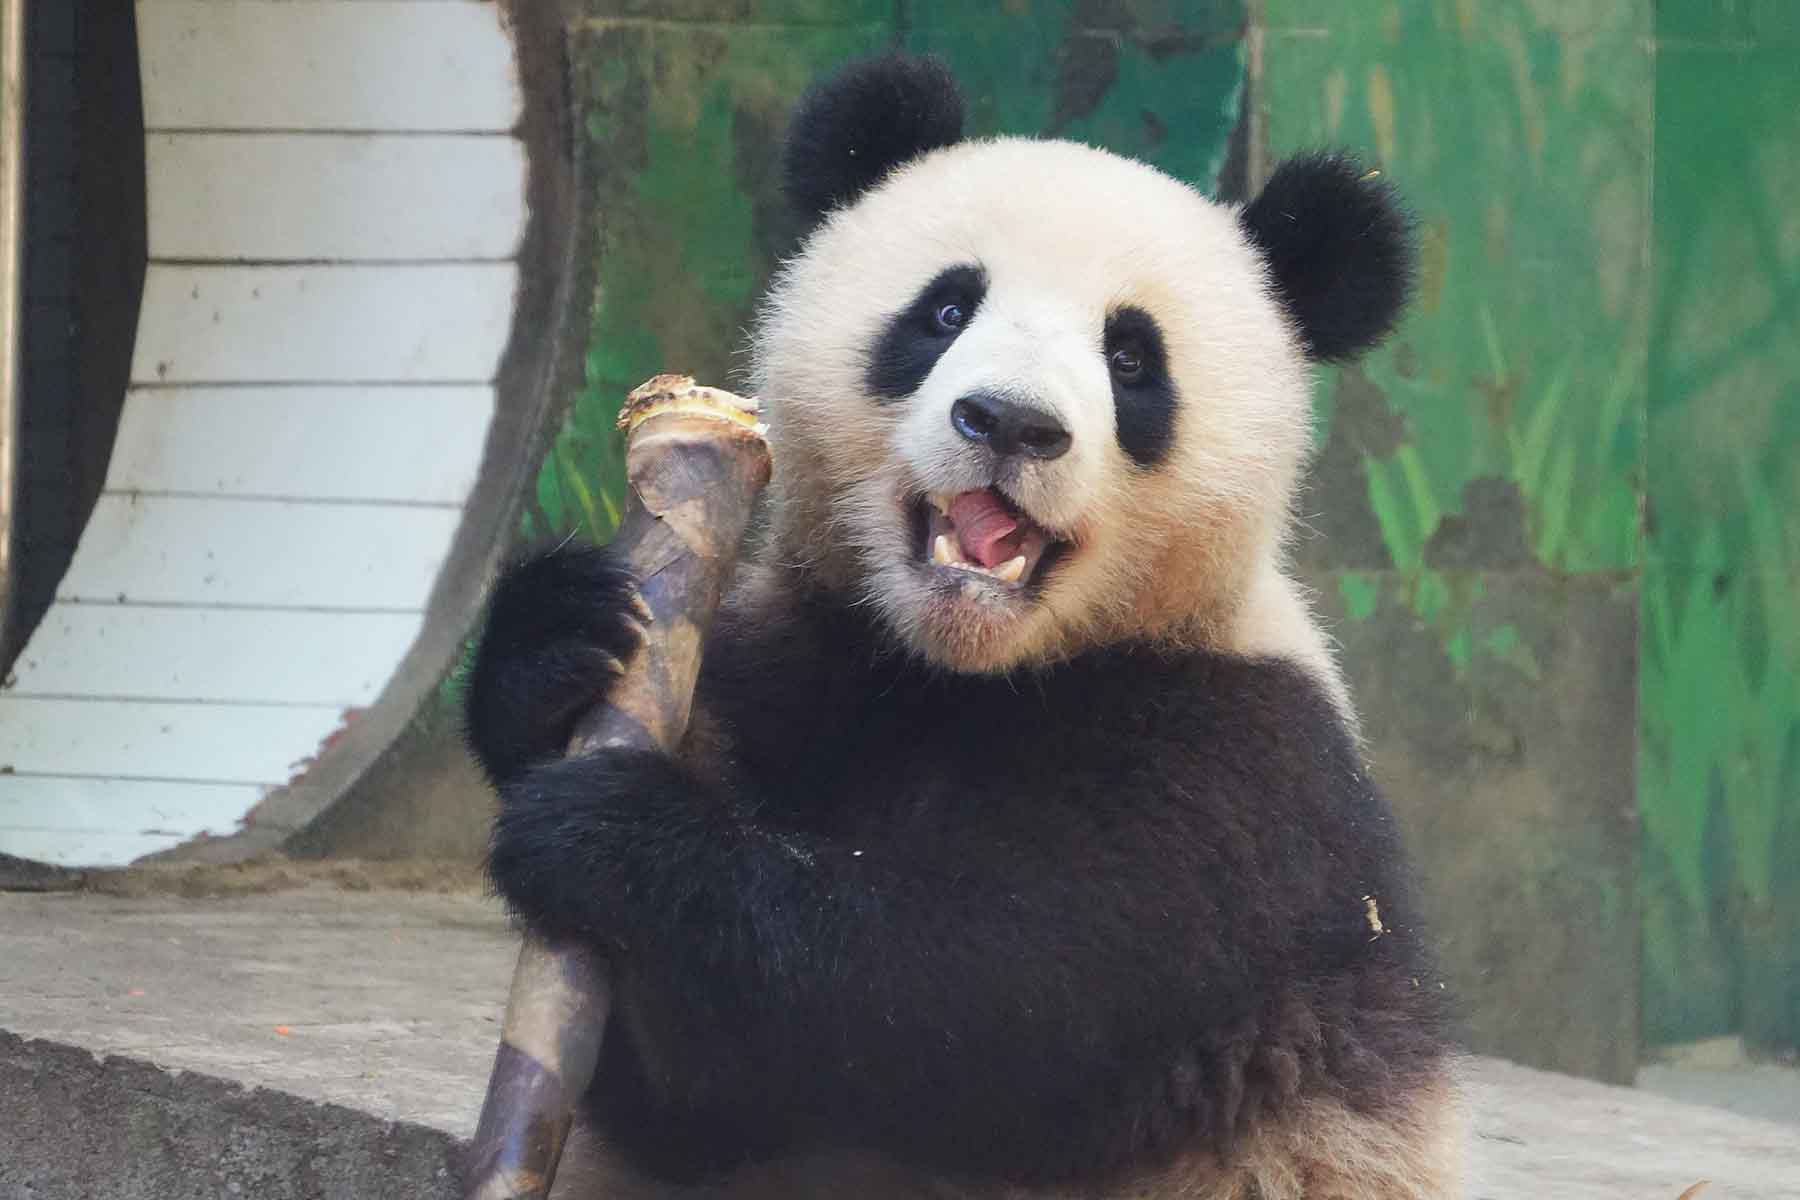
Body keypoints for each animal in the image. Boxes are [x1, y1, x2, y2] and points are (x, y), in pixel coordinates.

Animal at [467, 53, 1460, 1200]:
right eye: (945, 309)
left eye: (1132, 358)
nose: (1011, 422)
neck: (967, 666)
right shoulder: (806, 658)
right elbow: (694, 1107)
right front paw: (552, 646)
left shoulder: (1242, 767)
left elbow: (991, 985)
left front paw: (618, 840)